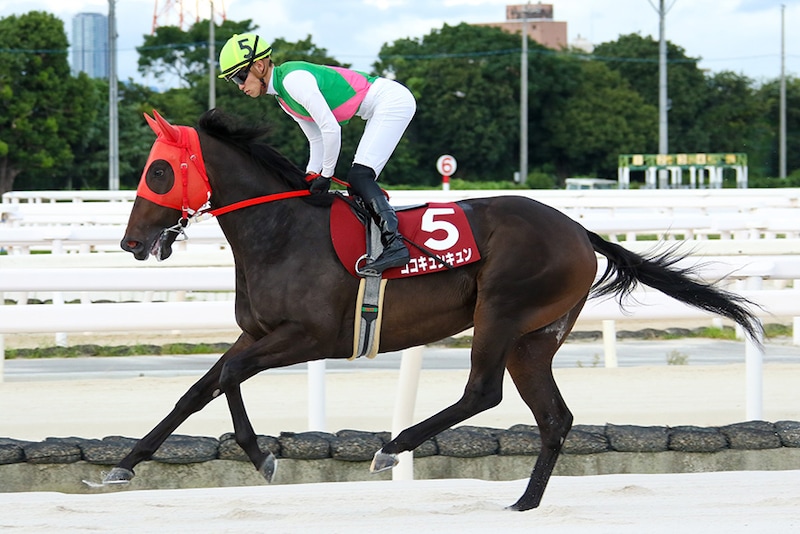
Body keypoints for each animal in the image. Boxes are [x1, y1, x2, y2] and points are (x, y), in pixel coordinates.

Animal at [112, 108, 761, 511]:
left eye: (158, 170)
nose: (131, 242)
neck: (280, 230)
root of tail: (579, 230)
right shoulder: (259, 334)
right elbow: (201, 388)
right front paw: (126, 463)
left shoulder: (308, 336)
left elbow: (225, 376)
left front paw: (260, 455)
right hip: (534, 338)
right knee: (554, 417)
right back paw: (524, 503)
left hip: (501, 311)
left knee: (483, 391)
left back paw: (392, 447)